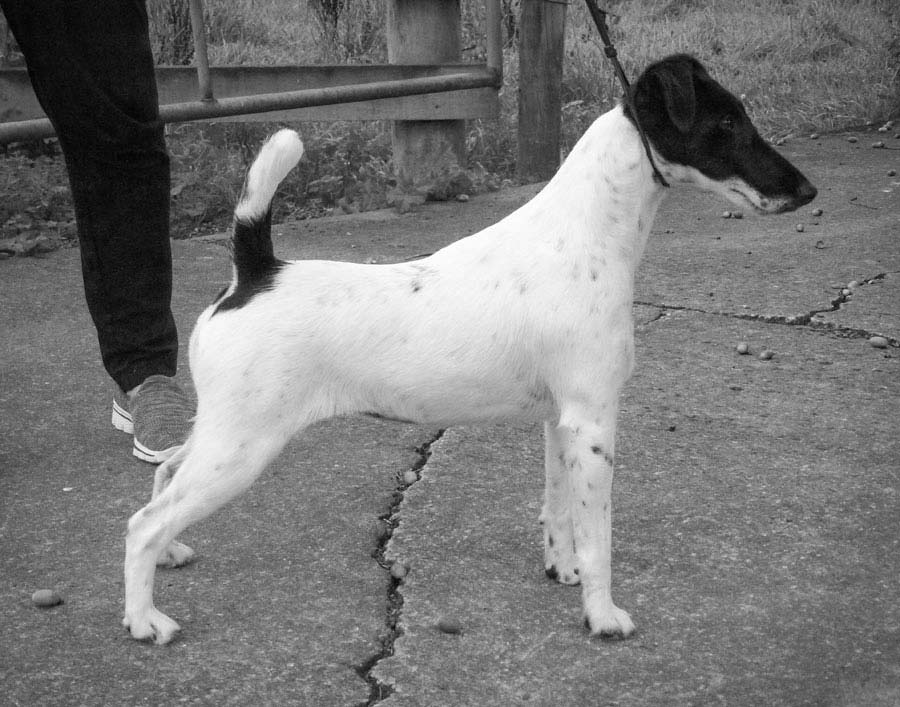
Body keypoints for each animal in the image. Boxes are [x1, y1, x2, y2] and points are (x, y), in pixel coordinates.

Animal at [125, 54, 816, 648]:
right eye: (726, 123)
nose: (807, 191)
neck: (585, 233)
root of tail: (253, 272)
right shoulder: (594, 422)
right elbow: (598, 535)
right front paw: (601, 614)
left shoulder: (560, 423)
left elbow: (558, 510)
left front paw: (561, 571)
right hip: (242, 446)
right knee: (142, 524)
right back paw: (145, 620)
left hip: (225, 433)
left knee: (164, 477)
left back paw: (173, 555)